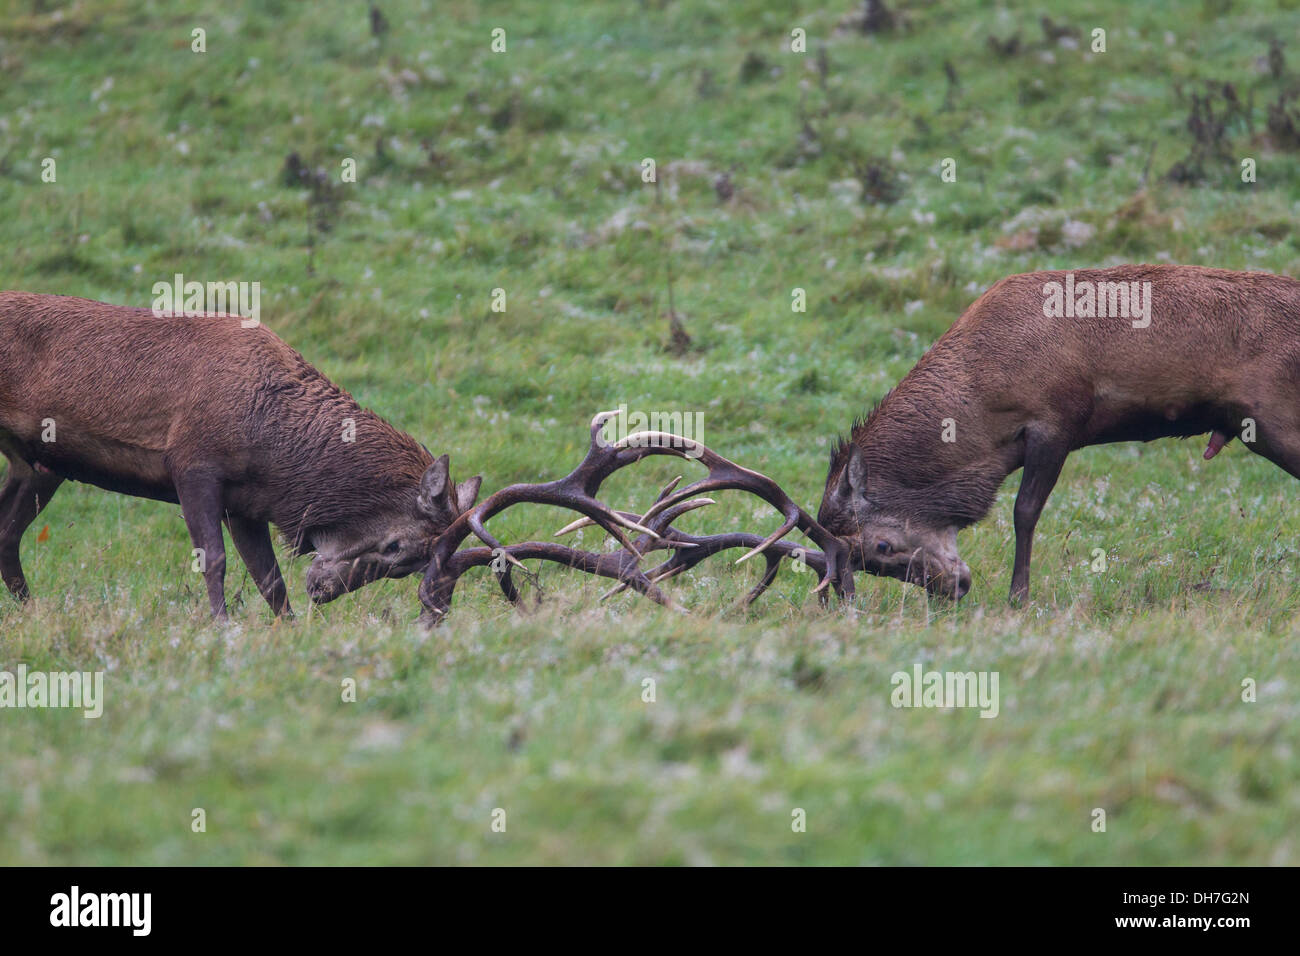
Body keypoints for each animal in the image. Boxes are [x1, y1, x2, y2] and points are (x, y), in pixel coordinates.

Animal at [0, 291, 481, 619]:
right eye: (396, 545)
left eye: (409, 568)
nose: (322, 591)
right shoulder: (192, 464)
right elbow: (214, 559)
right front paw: (221, 626)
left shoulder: (246, 504)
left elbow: (270, 580)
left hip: (39, 467)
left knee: (7, 533)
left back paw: (30, 611)